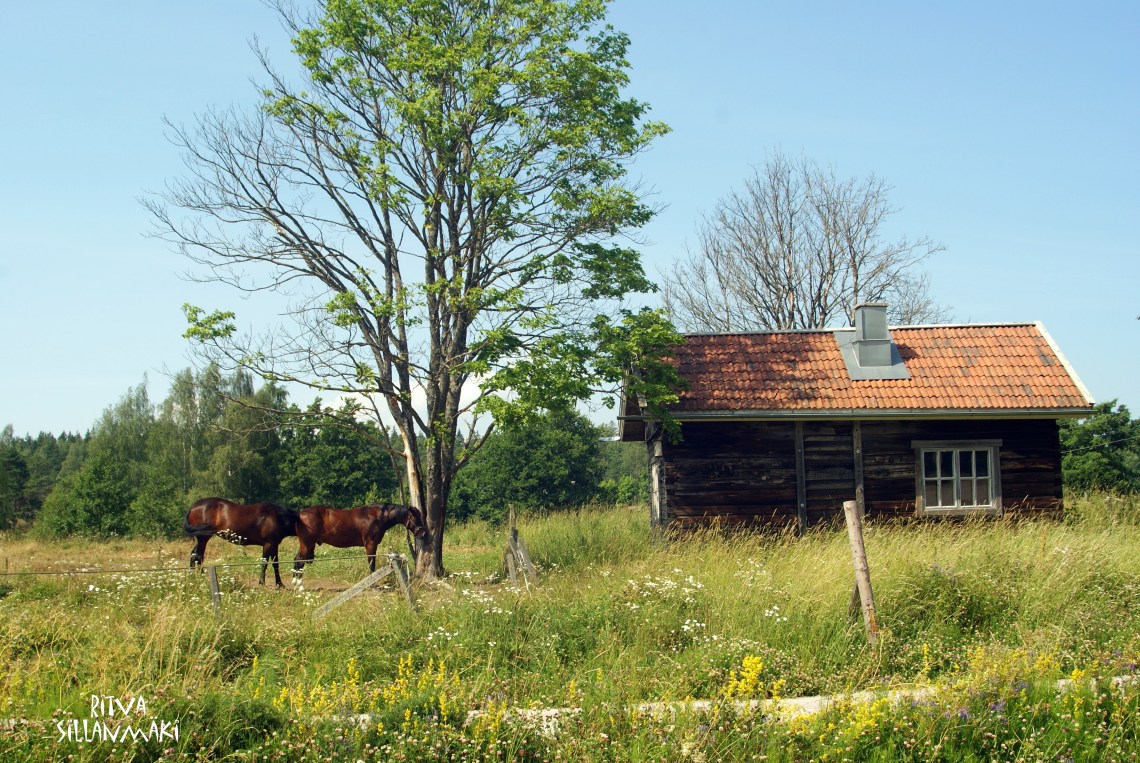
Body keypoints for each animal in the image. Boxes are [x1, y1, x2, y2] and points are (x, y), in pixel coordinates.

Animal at [292, 503, 427, 585]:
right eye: (415, 517)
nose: (423, 534)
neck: (377, 517)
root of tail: (299, 514)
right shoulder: (371, 544)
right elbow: (371, 564)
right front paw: (373, 583)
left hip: (306, 545)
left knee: (297, 561)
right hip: (307, 544)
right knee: (299, 562)